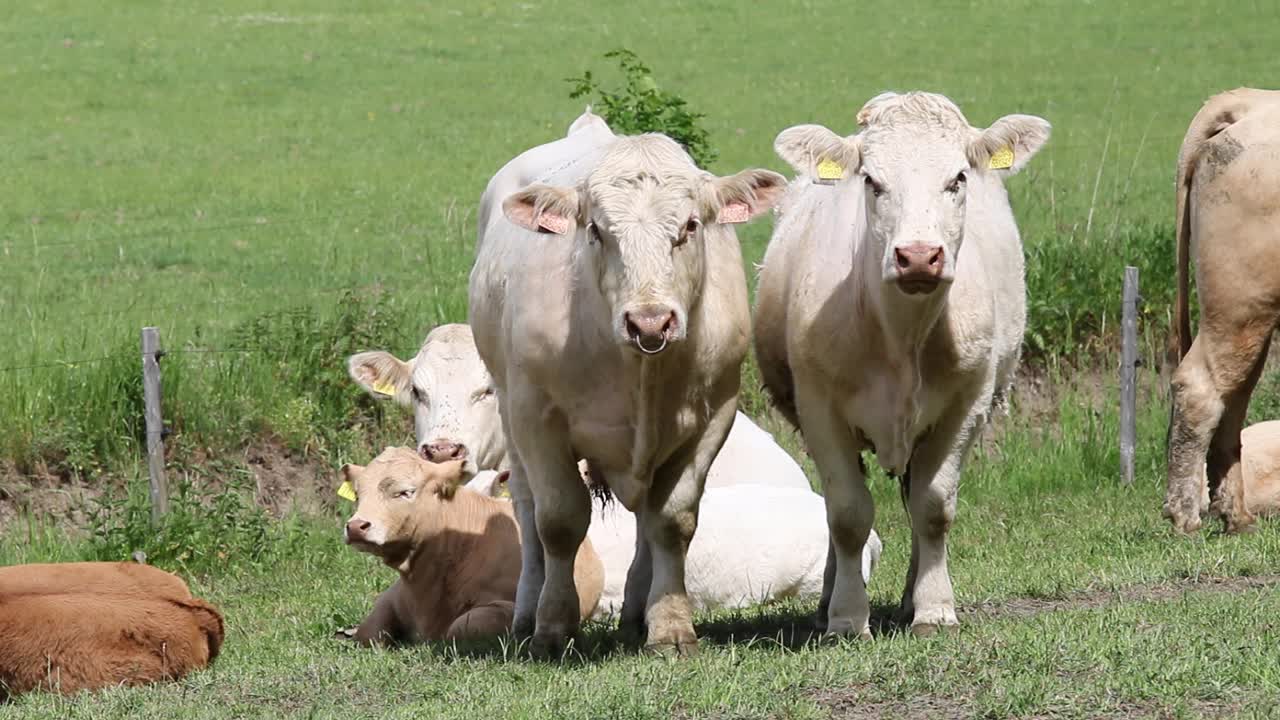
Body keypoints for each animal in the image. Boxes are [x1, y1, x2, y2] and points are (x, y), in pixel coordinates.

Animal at [337, 448, 601, 645]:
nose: (356, 526)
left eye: (405, 492)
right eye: (358, 495)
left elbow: (459, 628)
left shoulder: (508, 609)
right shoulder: (394, 596)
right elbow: (368, 632)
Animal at [471, 109, 788, 653]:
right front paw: (553, 626)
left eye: (690, 225)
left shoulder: (713, 417)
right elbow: (558, 522)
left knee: (646, 519)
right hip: (510, 415)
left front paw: (671, 626)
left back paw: (638, 614)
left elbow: (672, 520)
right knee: (529, 514)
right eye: (596, 230)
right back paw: (527, 613)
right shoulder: (536, 417)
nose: (650, 322)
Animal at [752, 89, 1044, 632]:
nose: (919, 256)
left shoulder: (965, 406)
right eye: (872, 181)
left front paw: (934, 608)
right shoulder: (819, 408)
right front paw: (847, 616)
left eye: (957, 178)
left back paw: (911, 597)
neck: (901, 337)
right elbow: (847, 514)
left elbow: (933, 506)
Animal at [1167, 87, 1280, 532]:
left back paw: (1237, 516)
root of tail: (1254, 101)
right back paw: (1184, 516)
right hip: (1238, 304)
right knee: (1201, 388)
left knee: (1234, 397)